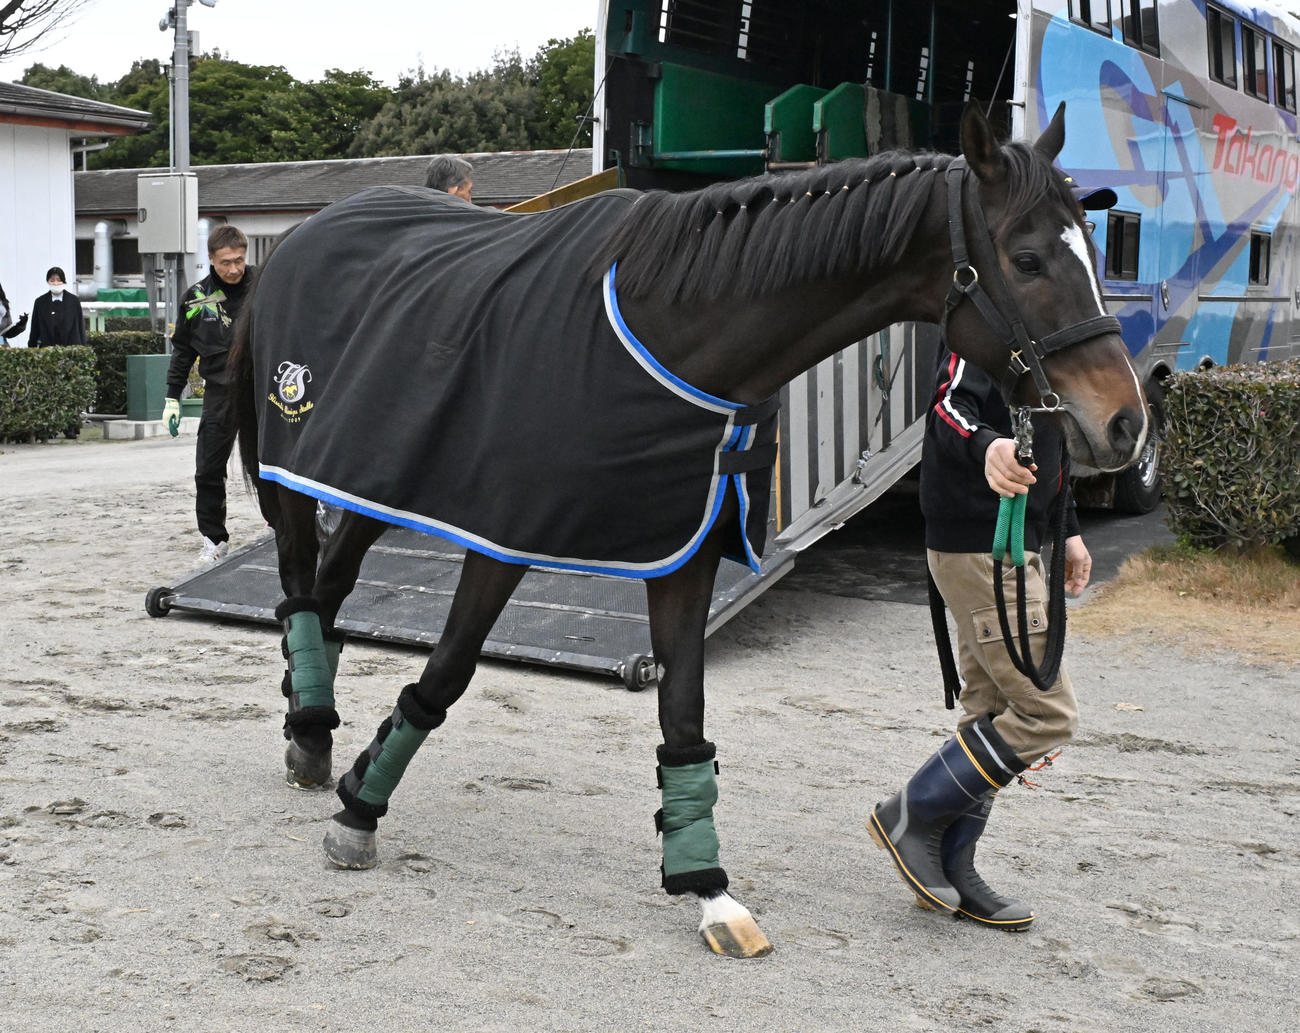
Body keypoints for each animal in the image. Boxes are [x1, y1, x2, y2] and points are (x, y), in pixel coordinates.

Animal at [229, 103, 1147, 959]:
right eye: (1026, 259)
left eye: (1092, 253)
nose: (1125, 424)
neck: (673, 331)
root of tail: (307, 235)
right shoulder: (505, 534)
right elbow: (446, 672)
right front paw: (360, 811)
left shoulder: (687, 549)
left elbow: (682, 713)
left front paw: (708, 887)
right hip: (303, 473)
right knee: (303, 583)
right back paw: (313, 735)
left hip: (375, 475)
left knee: (329, 587)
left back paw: (311, 732)